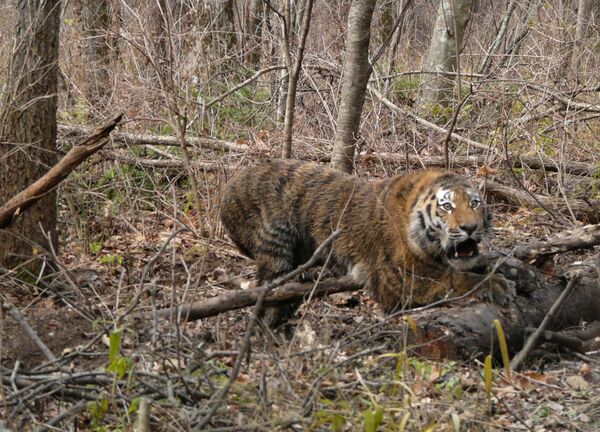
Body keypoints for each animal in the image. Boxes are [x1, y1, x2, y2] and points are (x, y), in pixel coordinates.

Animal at [219, 159, 510, 320]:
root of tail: (230, 185)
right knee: (269, 294)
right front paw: (495, 284)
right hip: (276, 242)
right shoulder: (398, 279)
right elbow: (455, 278)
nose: (470, 227)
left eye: (475, 204)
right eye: (447, 206)